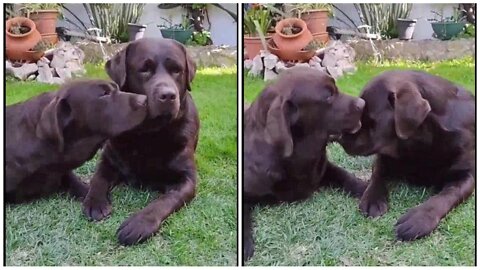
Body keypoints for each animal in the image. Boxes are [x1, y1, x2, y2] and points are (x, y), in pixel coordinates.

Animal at [340, 69, 474, 240]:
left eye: (369, 118)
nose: (340, 136)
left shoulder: (466, 175)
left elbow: (447, 195)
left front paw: (420, 218)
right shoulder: (383, 159)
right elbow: (377, 176)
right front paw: (372, 198)